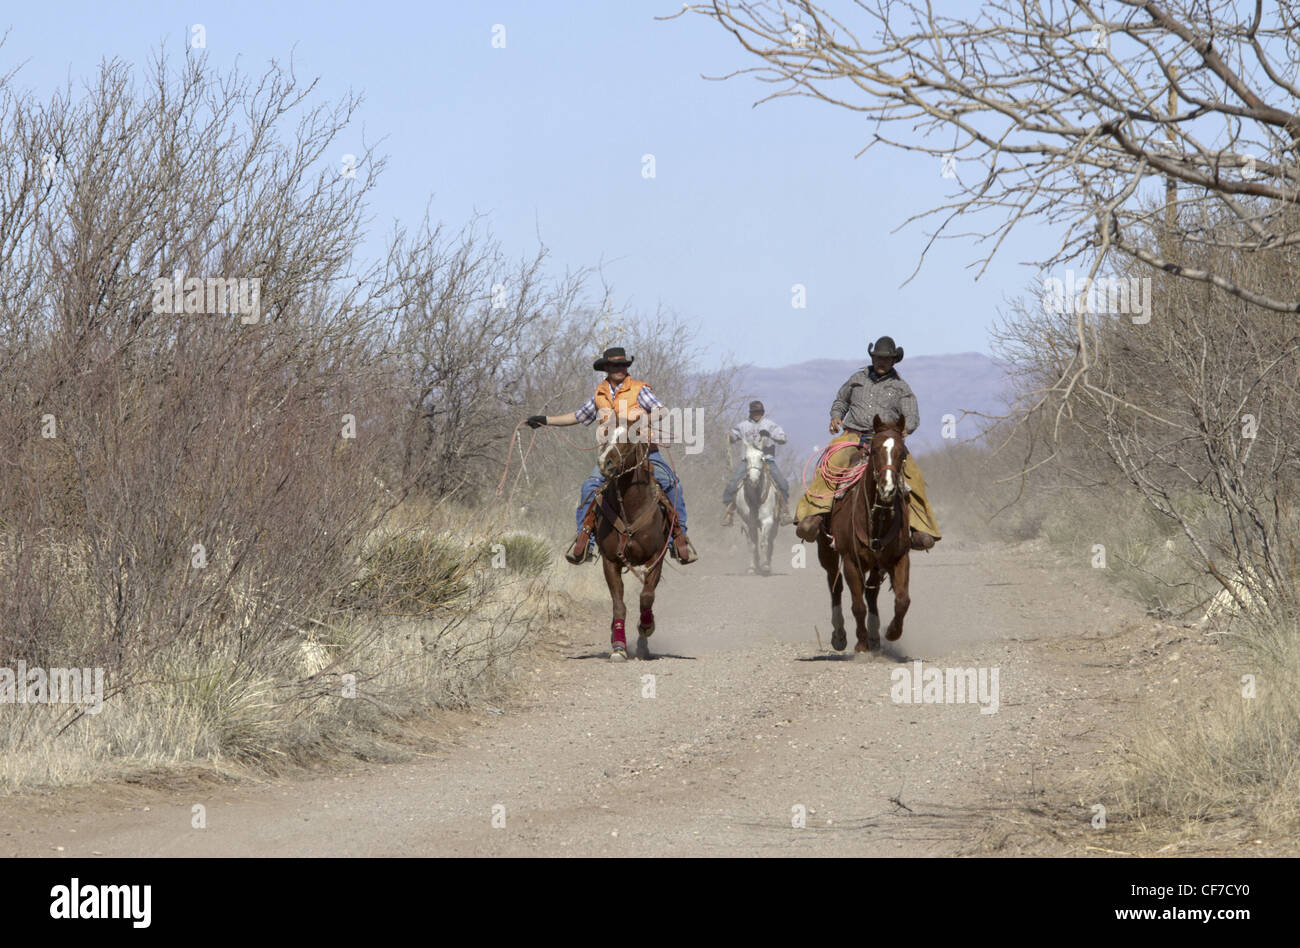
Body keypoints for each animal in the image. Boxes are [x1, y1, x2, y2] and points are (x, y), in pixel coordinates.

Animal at [590, 426, 670, 658]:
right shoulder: (610, 561)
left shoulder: (656, 558)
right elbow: (619, 605)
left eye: (629, 437)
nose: (605, 463)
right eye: (604, 434)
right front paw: (618, 646)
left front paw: (646, 626)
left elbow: (646, 597)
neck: (631, 508)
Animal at [738, 439, 774, 572]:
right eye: (746, 459)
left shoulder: (768, 521)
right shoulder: (747, 523)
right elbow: (752, 545)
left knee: (770, 541)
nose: (753, 480)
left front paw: (765, 566)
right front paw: (752, 567)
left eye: (761, 458)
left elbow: (764, 543)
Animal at [816, 413, 909, 650]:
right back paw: (840, 636)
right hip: (827, 553)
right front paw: (861, 645)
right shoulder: (850, 560)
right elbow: (857, 606)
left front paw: (892, 632)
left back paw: (875, 636)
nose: (887, 489)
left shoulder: (900, 557)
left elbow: (902, 600)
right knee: (836, 586)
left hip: (876, 565)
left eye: (903, 452)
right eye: (875, 450)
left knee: (871, 593)